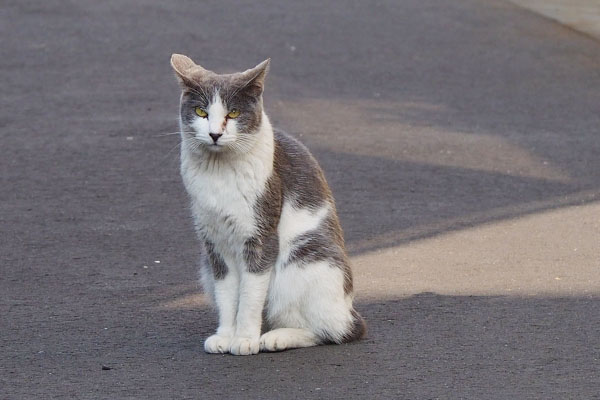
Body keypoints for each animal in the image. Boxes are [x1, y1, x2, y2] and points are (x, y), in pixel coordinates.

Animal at [169, 54, 366, 356]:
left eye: (233, 114)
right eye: (201, 112)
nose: (214, 134)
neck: (219, 173)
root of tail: (348, 308)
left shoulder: (260, 237)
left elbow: (250, 296)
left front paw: (244, 339)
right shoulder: (214, 244)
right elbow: (227, 295)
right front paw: (226, 336)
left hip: (304, 261)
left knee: (335, 330)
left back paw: (276, 338)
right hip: (205, 267)